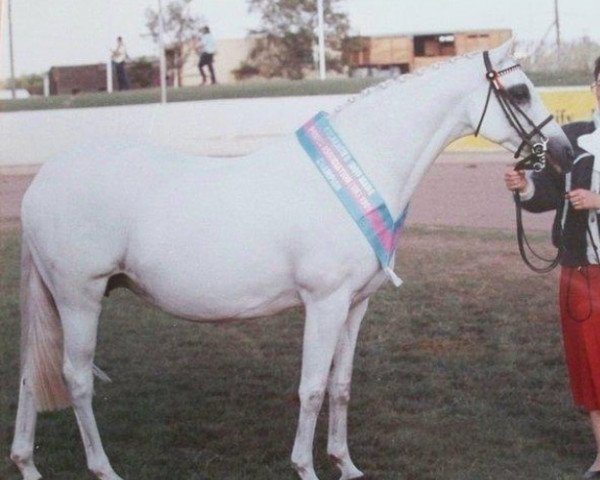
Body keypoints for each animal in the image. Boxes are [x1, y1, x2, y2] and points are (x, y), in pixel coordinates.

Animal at [8, 41, 572, 480]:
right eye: (519, 92)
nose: (564, 153)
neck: (361, 169)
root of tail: (41, 182)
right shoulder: (324, 303)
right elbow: (312, 389)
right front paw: (305, 466)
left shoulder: (355, 306)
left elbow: (341, 387)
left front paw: (346, 464)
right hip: (80, 297)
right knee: (76, 379)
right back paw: (103, 468)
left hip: (58, 300)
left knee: (32, 373)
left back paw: (27, 464)